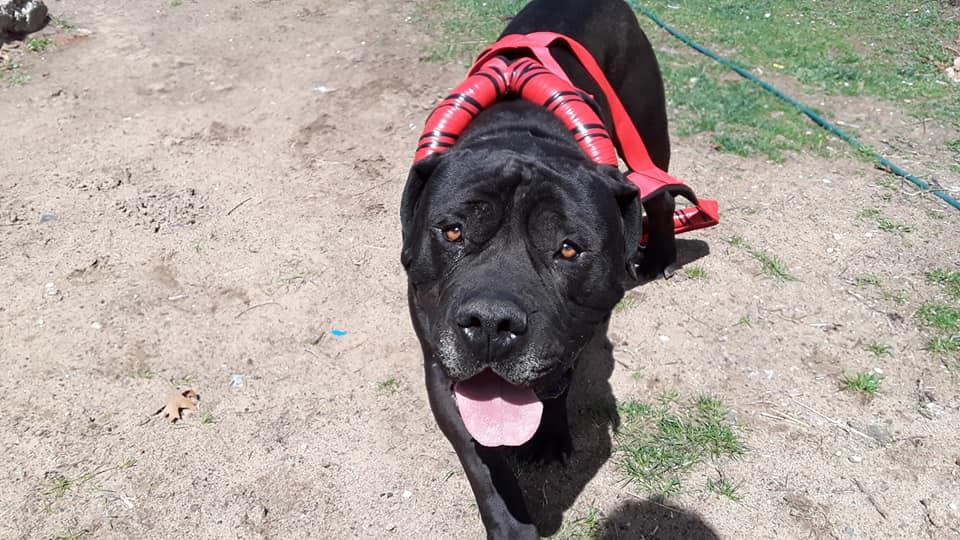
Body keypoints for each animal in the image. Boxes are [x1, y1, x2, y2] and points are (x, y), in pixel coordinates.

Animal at [400, 0, 708, 536]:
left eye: (568, 249)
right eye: (452, 231)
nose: (490, 323)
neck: (523, 136)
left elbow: (558, 384)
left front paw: (549, 436)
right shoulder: (439, 363)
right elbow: (483, 460)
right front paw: (510, 522)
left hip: (648, 119)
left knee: (659, 187)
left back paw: (661, 256)